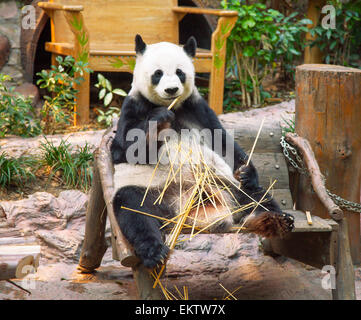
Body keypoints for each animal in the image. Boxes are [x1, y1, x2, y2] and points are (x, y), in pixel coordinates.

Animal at [110, 35, 292, 268]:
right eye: (158, 73)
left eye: (180, 72)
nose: (171, 90)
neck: (171, 106)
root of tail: (185, 212)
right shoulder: (133, 106)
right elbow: (123, 150)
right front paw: (159, 119)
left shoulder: (196, 108)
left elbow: (222, 141)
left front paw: (246, 171)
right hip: (151, 192)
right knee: (133, 209)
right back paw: (154, 251)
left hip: (223, 184)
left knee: (254, 196)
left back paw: (273, 220)